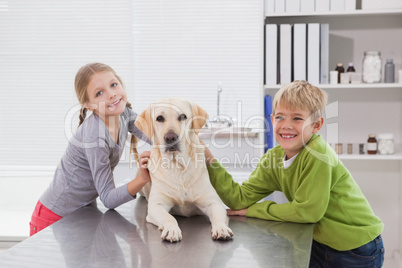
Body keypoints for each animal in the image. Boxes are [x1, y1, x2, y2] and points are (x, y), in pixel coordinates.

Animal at [133, 98, 234, 243]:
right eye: (159, 118)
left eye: (182, 117)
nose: (170, 137)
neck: (178, 166)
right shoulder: (156, 206)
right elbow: (169, 217)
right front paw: (171, 230)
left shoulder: (213, 202)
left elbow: (217, 216)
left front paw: (221, 228)